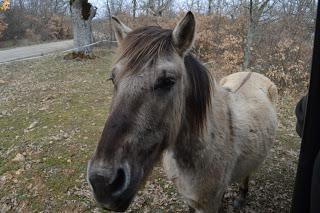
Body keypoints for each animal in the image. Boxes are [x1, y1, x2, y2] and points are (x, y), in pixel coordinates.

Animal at [85, 12, 278, 213]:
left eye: (168, 81)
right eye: (112, 78)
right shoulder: (189, 199)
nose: (102, 182)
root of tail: (252, 73)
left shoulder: (208, 205)